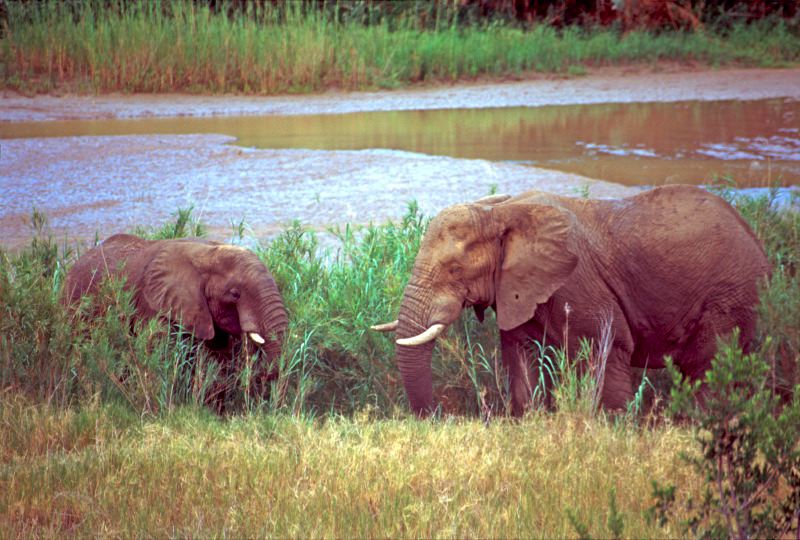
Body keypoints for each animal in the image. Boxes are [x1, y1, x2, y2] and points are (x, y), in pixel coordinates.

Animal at [372, 185, 771, 416]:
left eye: (454, 269)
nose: (440, 414)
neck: (502, 212)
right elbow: (521, 359)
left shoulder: (579, 284)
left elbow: (606, 352)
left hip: (731, 293)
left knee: (708, 367)